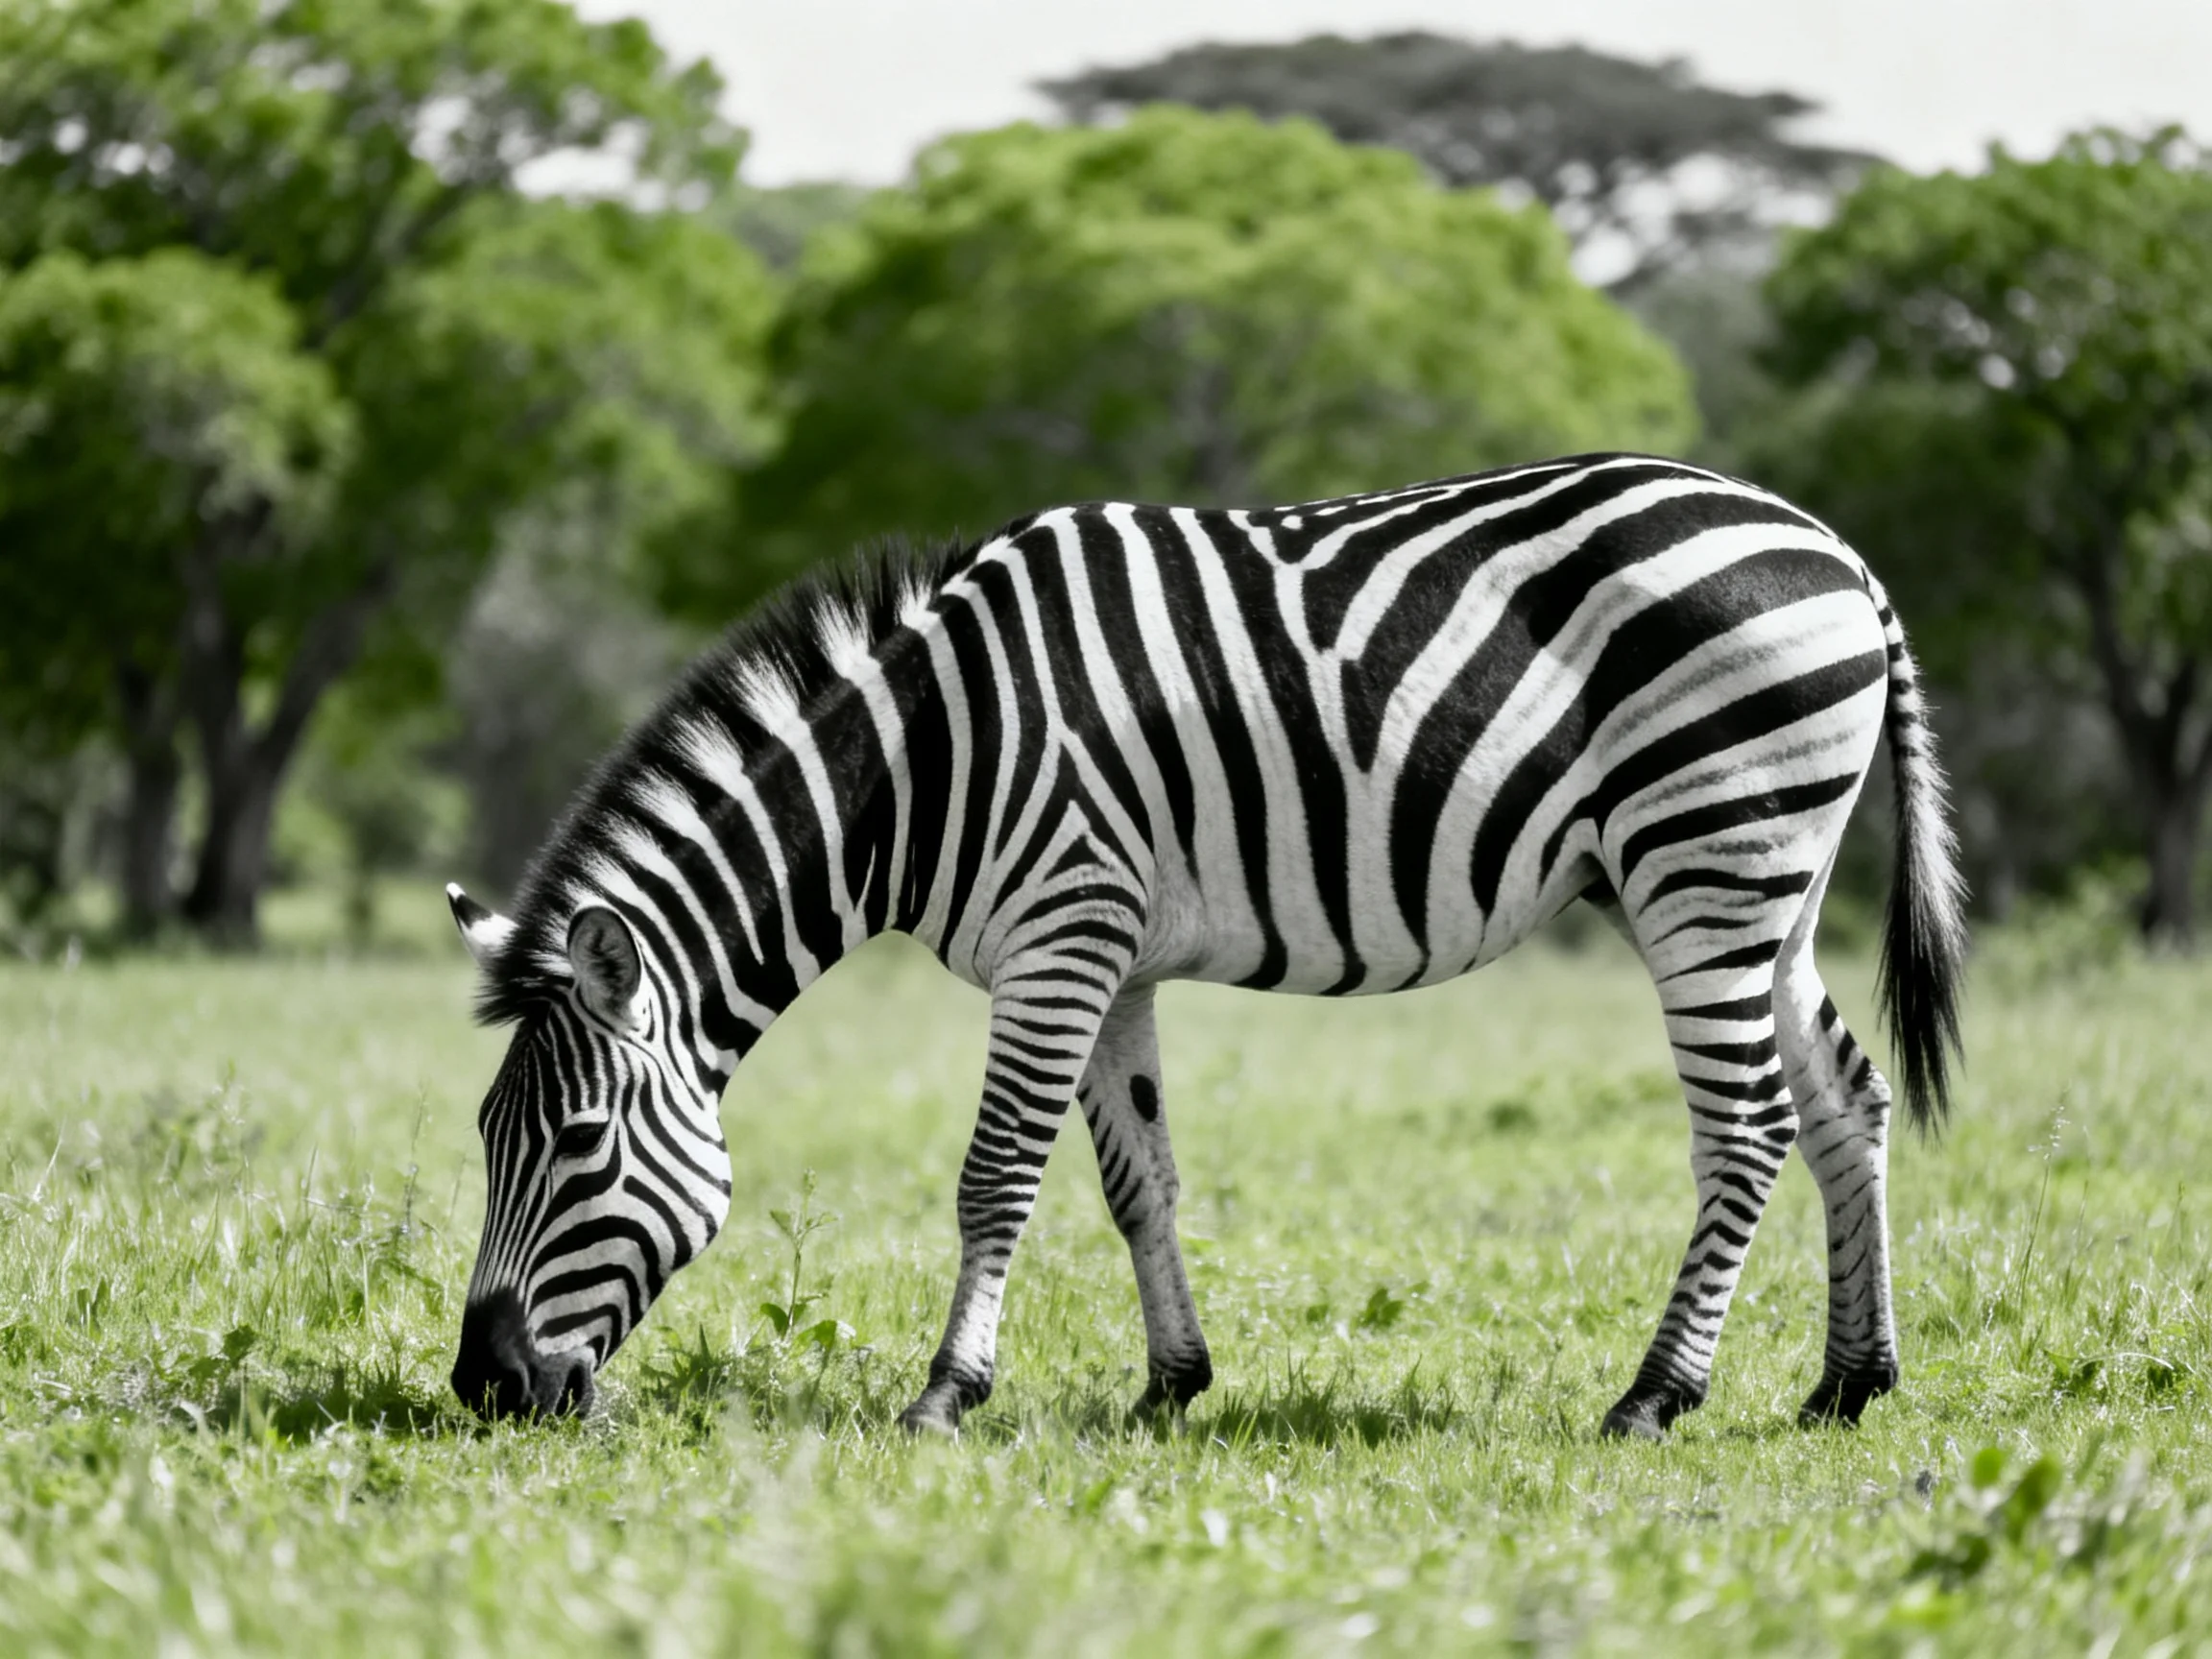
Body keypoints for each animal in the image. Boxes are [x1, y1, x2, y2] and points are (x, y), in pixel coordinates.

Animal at [444, 452, 1965, 1441]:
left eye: (576, 1145)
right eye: (485, 1139)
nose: (482, 1390)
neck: (929, 763)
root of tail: (1842, 556)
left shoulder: (1059, 934)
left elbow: (995, 1180)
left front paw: (945, 1394)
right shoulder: (1106, 955)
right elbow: (1141, 1182)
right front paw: (1171, 1384)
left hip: (1703, 857)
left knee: (1748, 1126)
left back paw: (1655, 1397)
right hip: (1768, 883)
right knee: (1847, 1095)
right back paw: (1849, 1384)